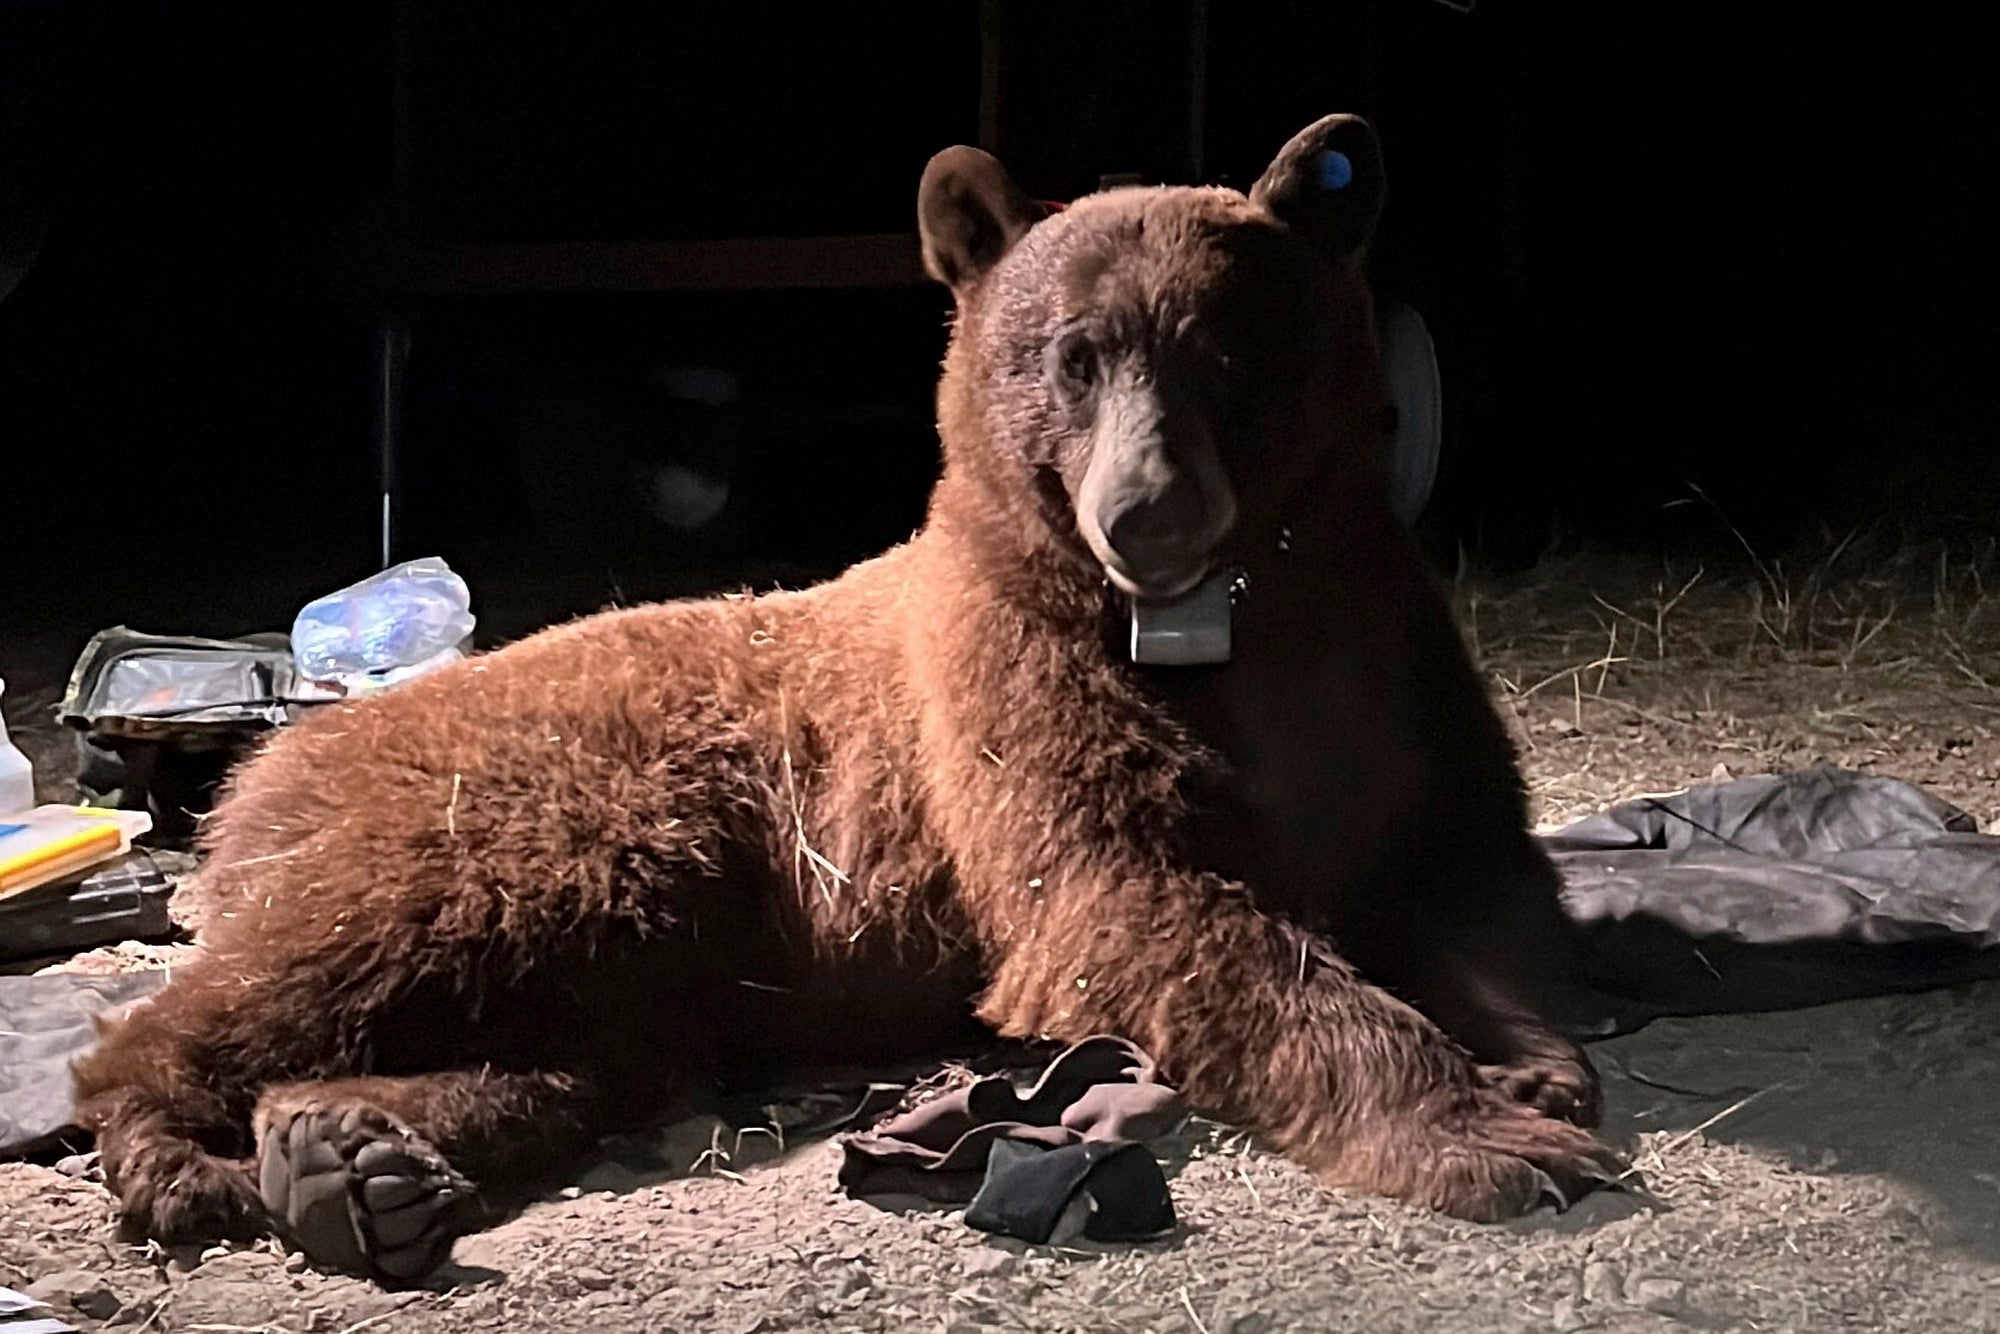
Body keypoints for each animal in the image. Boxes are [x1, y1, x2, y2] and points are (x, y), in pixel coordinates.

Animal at [72, 113, 1621, 1283]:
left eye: (1226, 353)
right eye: (1071, 354)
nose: (1148, 511)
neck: (1218, 623)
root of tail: (268, 770)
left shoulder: (1394, 668)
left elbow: (1471, 865)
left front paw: (1532, 1067)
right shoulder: (1013, 698)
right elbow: (1144, 902)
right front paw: (1486, 1133)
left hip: (630, 930)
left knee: (580, 1052)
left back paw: (351, 1154)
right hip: (524, 830)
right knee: (304, 975)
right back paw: (191, 1153)